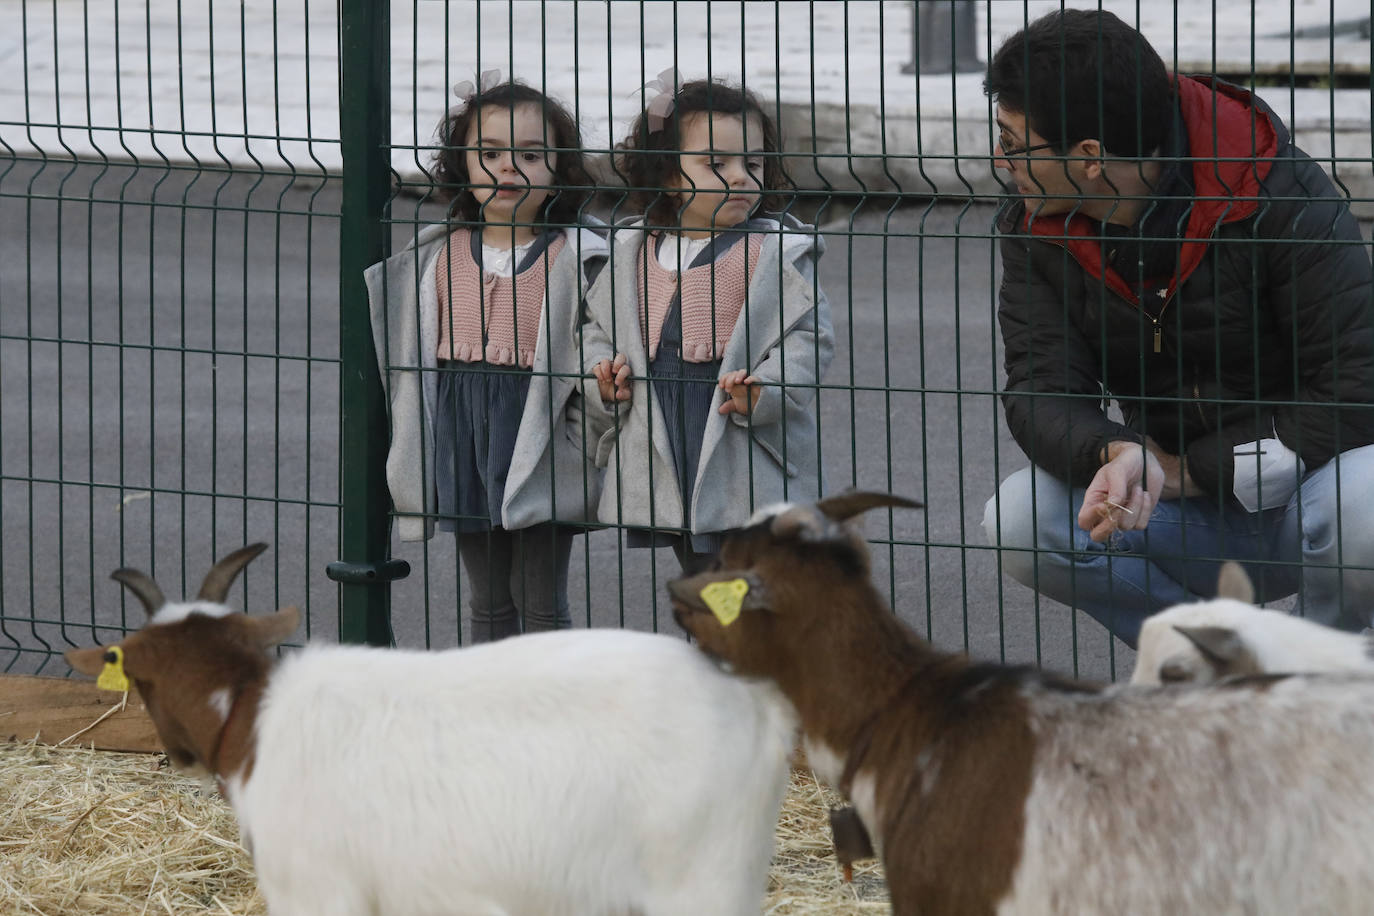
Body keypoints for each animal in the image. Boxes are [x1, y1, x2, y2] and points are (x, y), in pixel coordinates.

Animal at [66, 543, 796, 916]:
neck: (253, 715)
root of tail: (755, 706)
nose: (177, 753)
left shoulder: (317, 887)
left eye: (141, 679)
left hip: (698, 874)